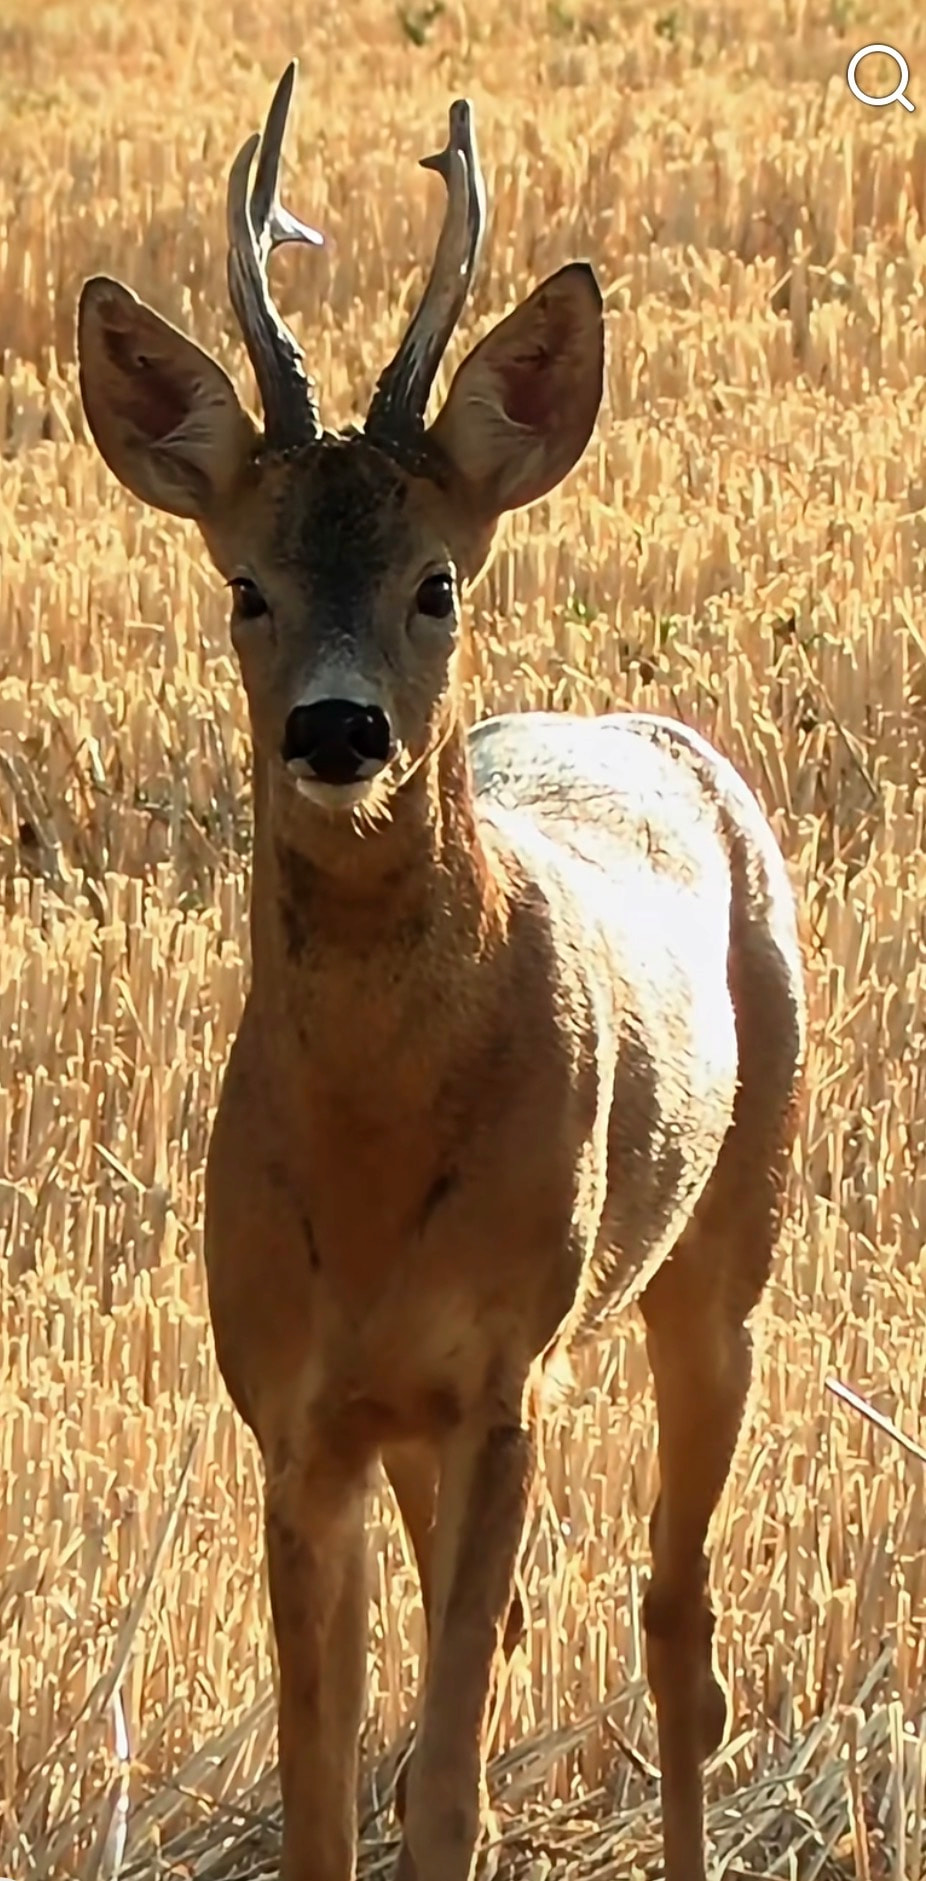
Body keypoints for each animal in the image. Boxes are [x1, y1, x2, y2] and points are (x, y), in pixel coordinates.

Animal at [76, 62, 807, 1881]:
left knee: (679, 1632)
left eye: (437, 581)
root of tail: (668, 737)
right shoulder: (292, 1404)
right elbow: (328, 1783)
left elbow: (453, 1785)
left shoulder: (504, 1369)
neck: (373, 1157)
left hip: (728, 1243)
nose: (336, 732)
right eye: (244, 585)